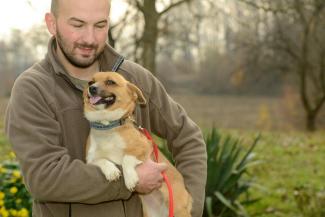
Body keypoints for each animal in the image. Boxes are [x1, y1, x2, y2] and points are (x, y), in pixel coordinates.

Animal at [82, 72, 192, 216]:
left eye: (110, 82)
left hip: (179, 210)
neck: (107, 126)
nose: (92, 88)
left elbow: (126, 159)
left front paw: (130, 178)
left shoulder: (144, 147)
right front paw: (112, 171)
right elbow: (101, 160)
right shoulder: (90, 159)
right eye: (91, 82)